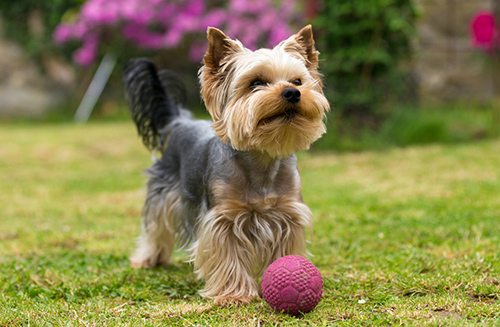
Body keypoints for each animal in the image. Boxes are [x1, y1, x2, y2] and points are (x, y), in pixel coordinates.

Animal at [123, 25, 330, 304]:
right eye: (256, 83)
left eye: (298, 81)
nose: (293, 93)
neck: (262, 158)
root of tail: (180, 120)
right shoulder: (223, 218)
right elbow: (228, 255)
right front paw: (234, 294)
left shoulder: (287, 214)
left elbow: (282, 249)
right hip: (163, 191)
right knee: (156, 225)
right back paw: (148, 258)